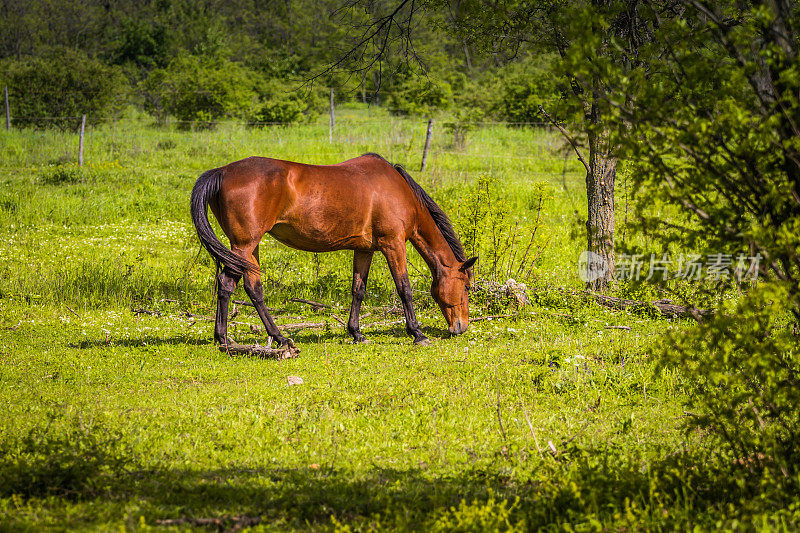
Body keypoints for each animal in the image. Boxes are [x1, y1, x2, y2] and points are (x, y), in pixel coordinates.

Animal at [191, 152, 478, 348]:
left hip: (248, 248)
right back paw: (236, 338)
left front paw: (356, 333)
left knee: (246, 287)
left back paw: (266, 337)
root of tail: (222, 171)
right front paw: (417, 333)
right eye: (465, 285)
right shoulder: (393, 244)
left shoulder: (364, 249)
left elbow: (358, 290)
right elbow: (404, 288)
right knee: (232, 284)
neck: (397, 190)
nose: (460, 327)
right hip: (244, 246)